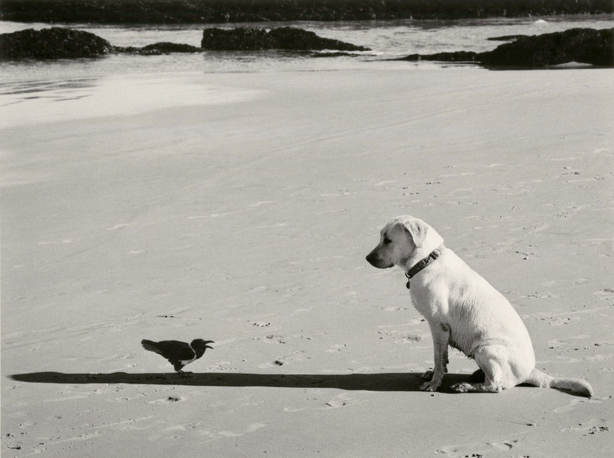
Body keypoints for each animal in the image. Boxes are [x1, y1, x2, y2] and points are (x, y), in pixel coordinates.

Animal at [368, 216, 596, 398]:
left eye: (388, 240)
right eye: (381, 237)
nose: (367, 258)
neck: (426, 260)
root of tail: (530, 372)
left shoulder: (439, 326)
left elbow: (438, 358)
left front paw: (434, 383)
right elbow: (443, 358)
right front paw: (433, 374)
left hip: (485, 348)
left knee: (496, 386)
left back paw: (465, 386)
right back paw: (476, 375)